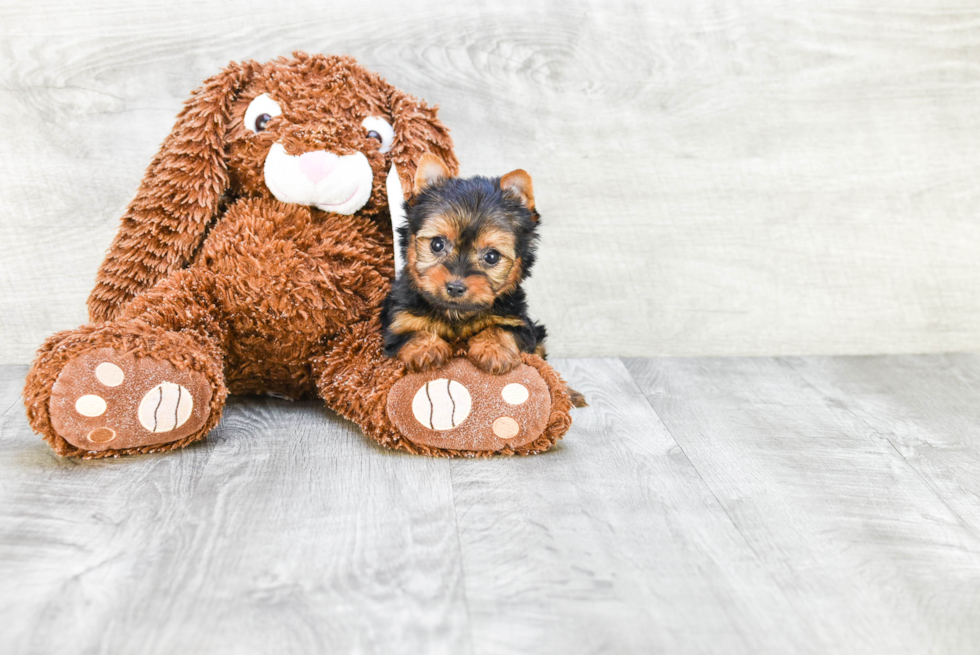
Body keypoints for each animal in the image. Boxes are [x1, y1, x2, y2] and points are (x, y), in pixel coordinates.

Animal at [382, 154, 552, 380]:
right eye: (437, 244)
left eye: (491, 256)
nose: (455, 287)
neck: (457, 314)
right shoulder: (398, 320)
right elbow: (408, 332)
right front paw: (426, 349)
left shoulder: (519, 323)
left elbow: (503, 329)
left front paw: (493, 350)